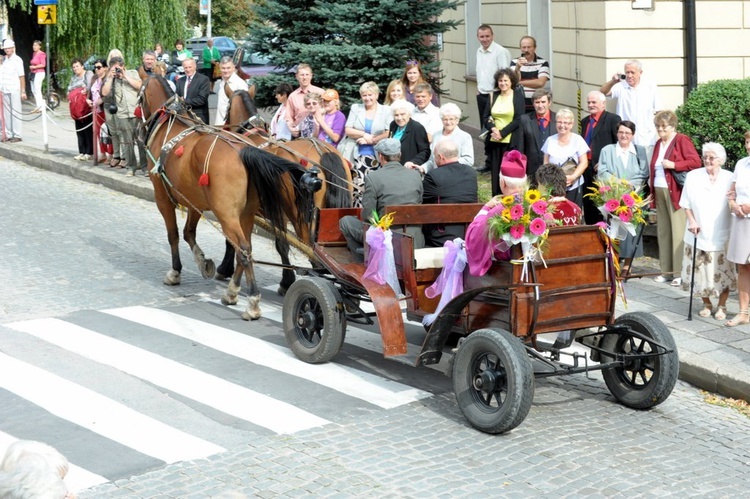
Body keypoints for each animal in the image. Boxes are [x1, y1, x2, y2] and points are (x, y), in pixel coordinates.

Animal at [138, 76, 312, 322]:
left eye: (139, 96)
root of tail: (244, 152)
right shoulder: (193, 199)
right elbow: (188, 232)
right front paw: (204, 263)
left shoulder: (163, 196)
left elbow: (173, 235)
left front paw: (176, 271)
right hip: (246, 214)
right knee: (246, 248)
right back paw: (233, 292)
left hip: (229, 214)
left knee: (245, 250)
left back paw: (253, 301)